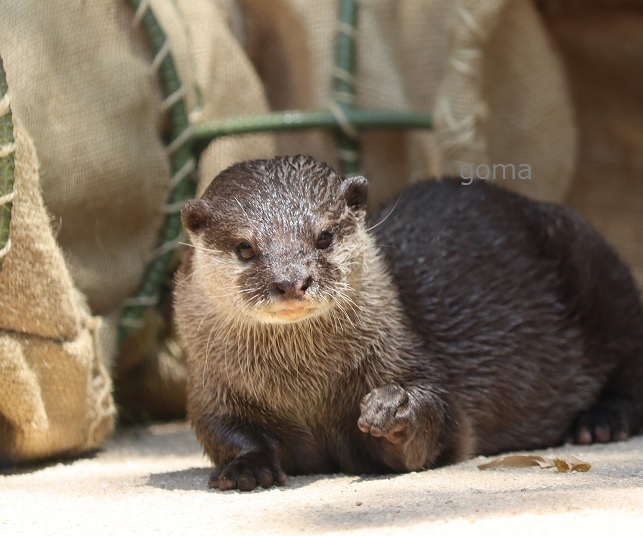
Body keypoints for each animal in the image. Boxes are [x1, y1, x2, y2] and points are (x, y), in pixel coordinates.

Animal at [174, 154, 643, 491]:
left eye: (324, 236)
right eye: (245, 248)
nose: (291, 282)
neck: (303, 388)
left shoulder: (408, 353)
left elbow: (442, 429)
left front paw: (396, 408)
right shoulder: (210, 387)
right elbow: (223, 430)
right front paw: (245, 467)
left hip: (595, 267)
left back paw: (600, 422)